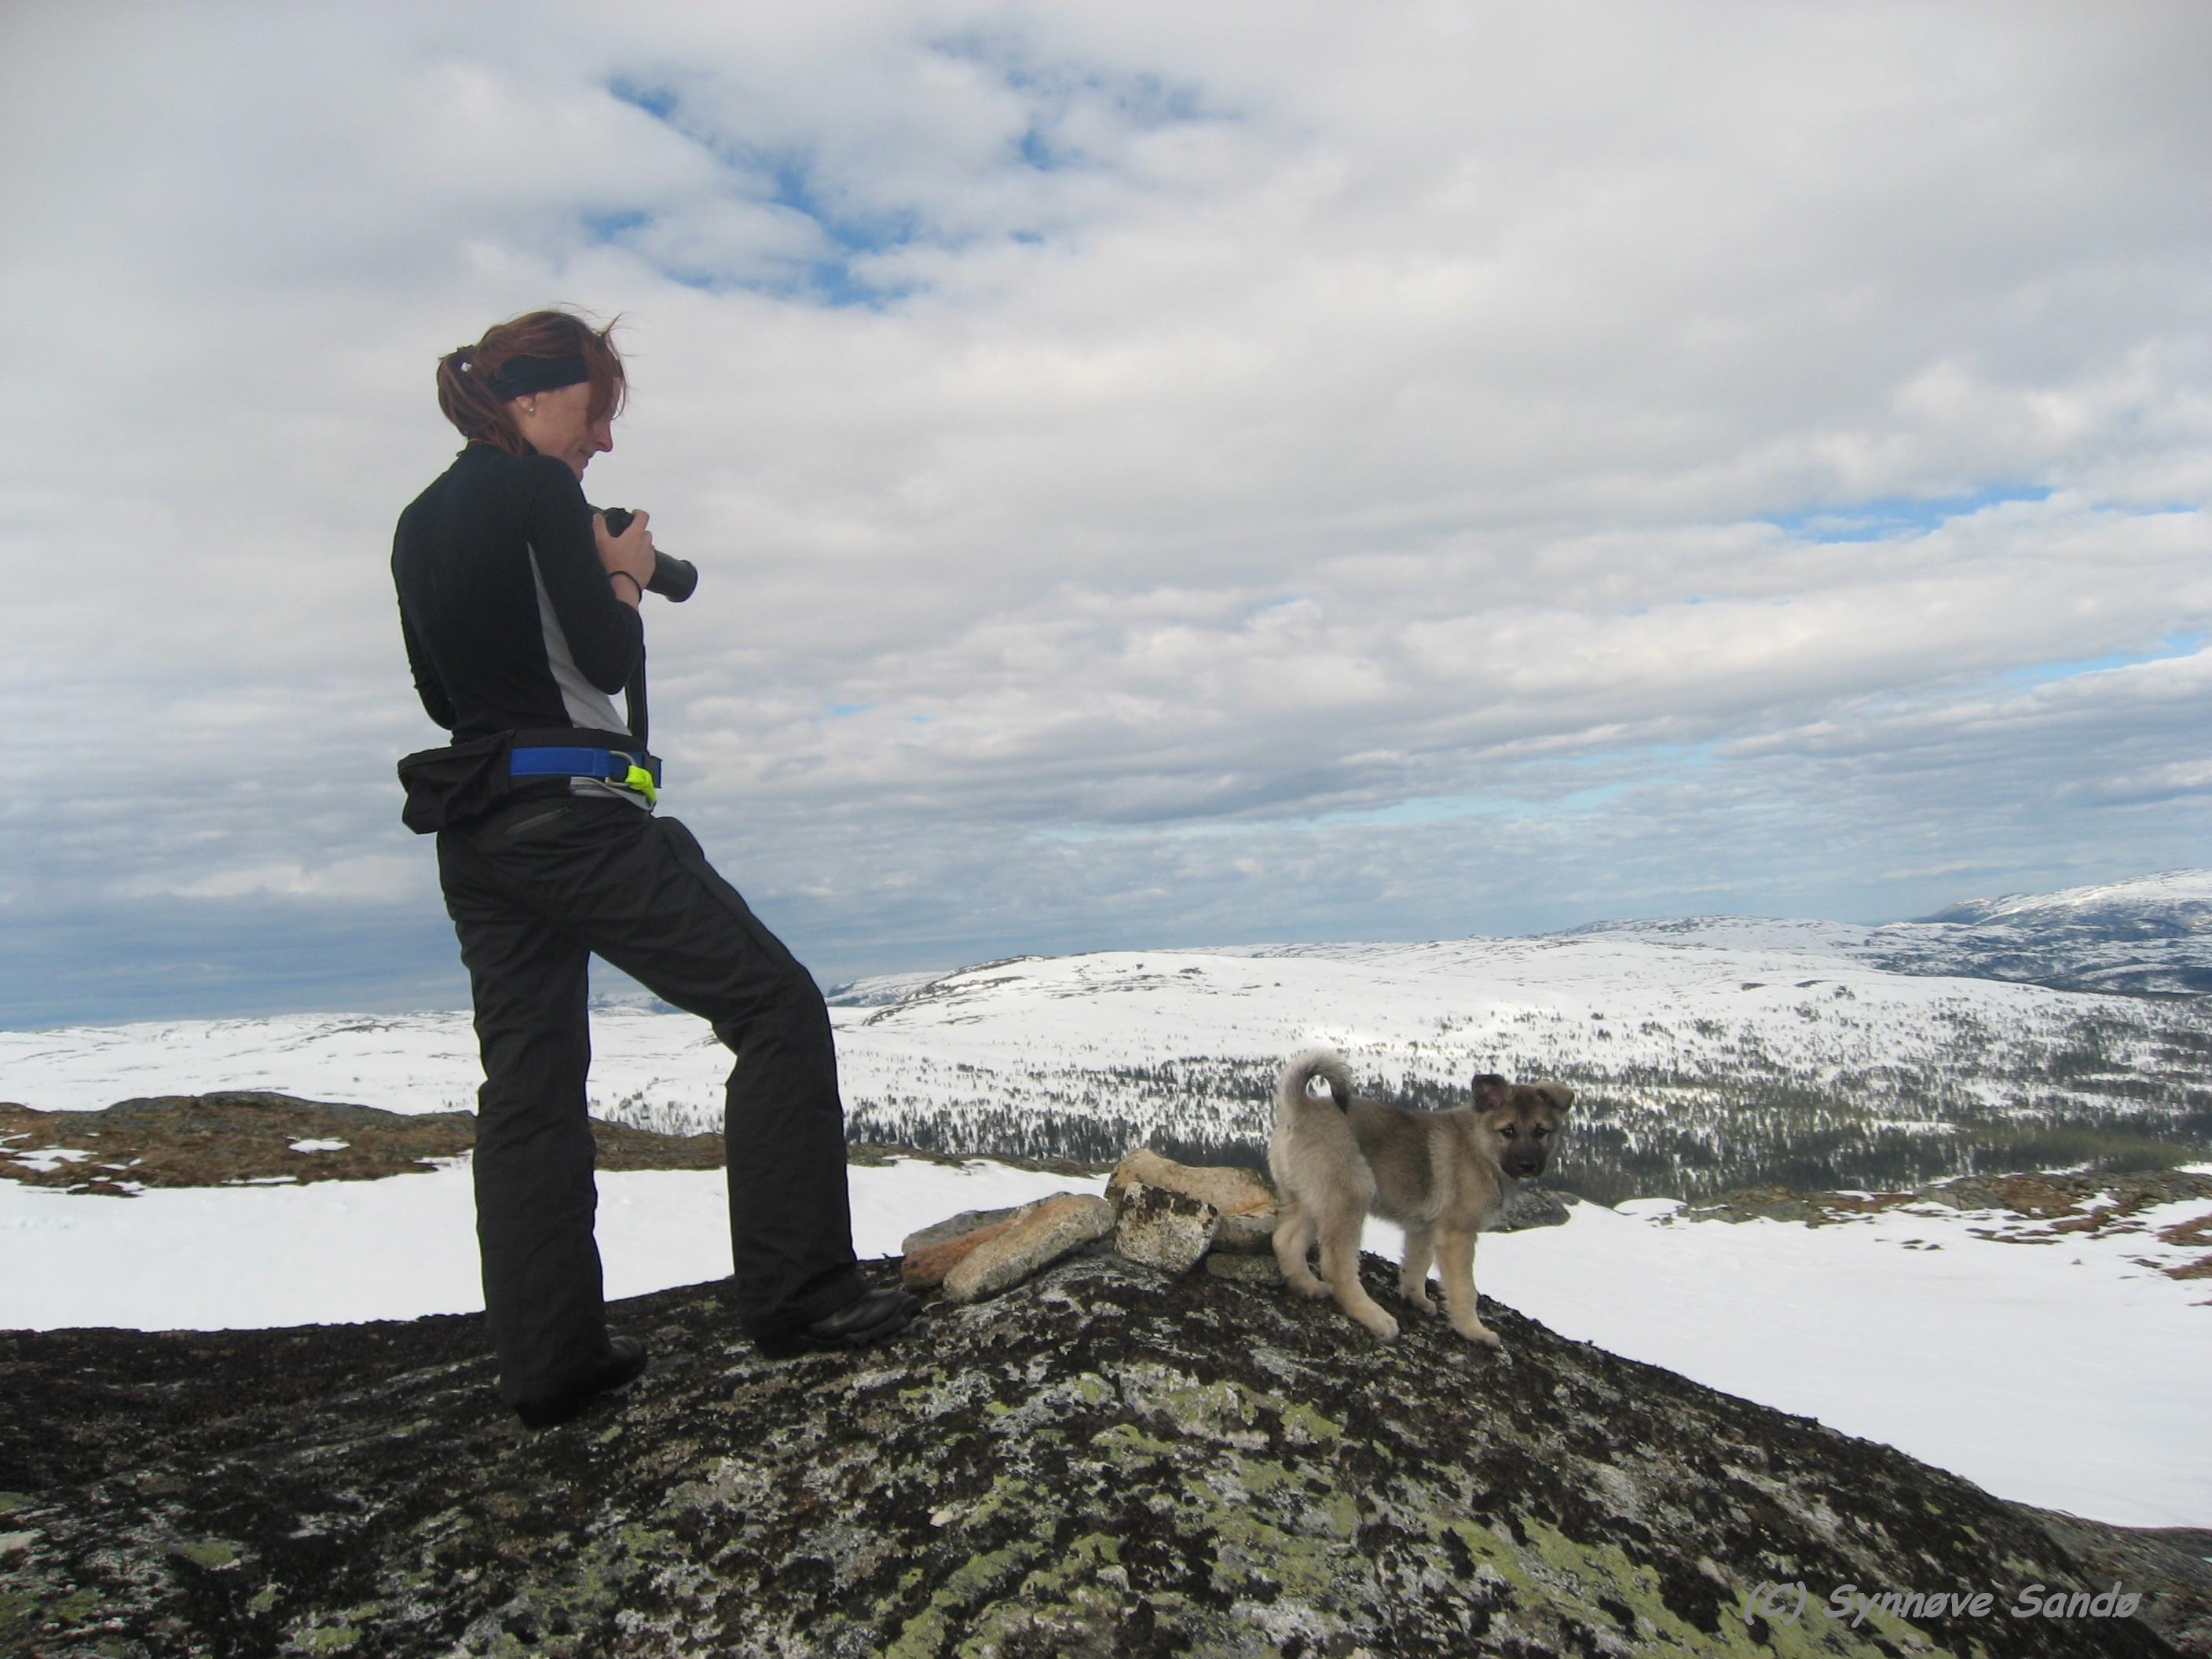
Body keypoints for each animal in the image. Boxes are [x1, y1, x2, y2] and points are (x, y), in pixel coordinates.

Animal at [1265, 1053, 1574, 1353]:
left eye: (1541, 1131)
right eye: (1508, 1131)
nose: (1528, 1165)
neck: (1480, 1148)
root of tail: (1300, 1108)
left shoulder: (1424, 1228)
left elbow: (1416, 1265)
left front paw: (1416, 1300)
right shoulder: (1457, 1235)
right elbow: (1465, 1289)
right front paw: (1473, 1331)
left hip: (1310, 1200)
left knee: (1286, 1241)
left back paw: (1307, 1286)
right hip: (1348, 1199)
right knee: (1337, 1268)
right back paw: (1374, 1316)